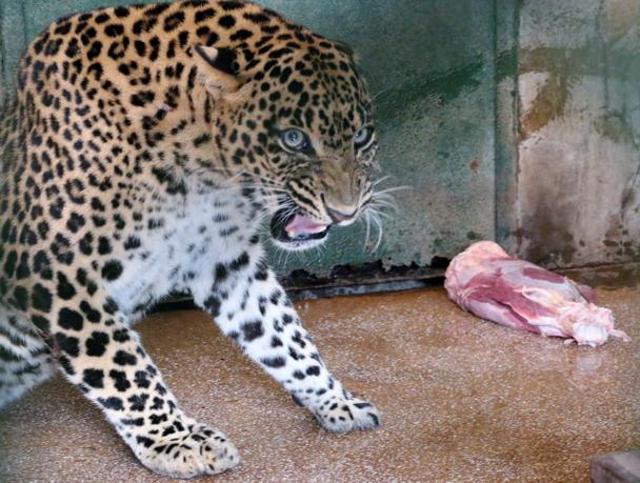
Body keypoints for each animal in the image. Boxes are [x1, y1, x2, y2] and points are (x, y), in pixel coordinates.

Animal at [0, 0, 387, 478]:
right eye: (294, 139)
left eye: (361, 136)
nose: (345, 213)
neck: (201, 172)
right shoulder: (54, 273)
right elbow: (123, 367)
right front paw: (178, 440)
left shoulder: (225, 263)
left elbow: (284, 335)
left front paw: (334, 399)